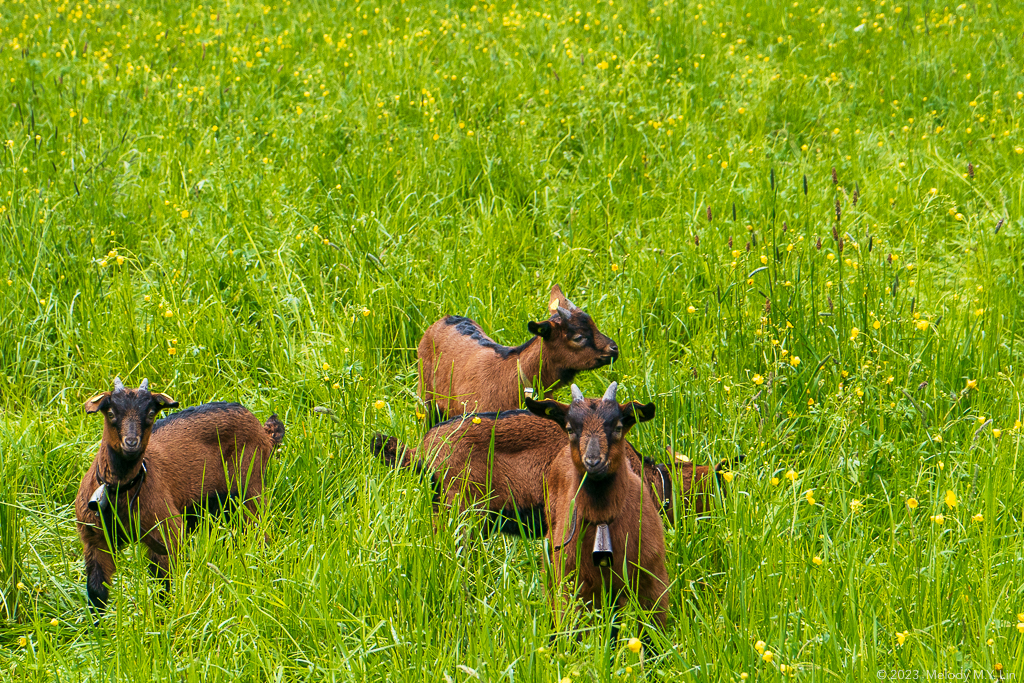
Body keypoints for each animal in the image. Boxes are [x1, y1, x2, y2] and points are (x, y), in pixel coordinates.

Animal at [75, 376, 284, 610]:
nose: (131, 443)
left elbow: (164, 584)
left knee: (260, 533)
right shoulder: (94, 540)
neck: (119, 491)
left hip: (250, 487)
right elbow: (97, 592)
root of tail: (264, 432)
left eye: (150, 413)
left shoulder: (167, 532)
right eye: (111, 413)